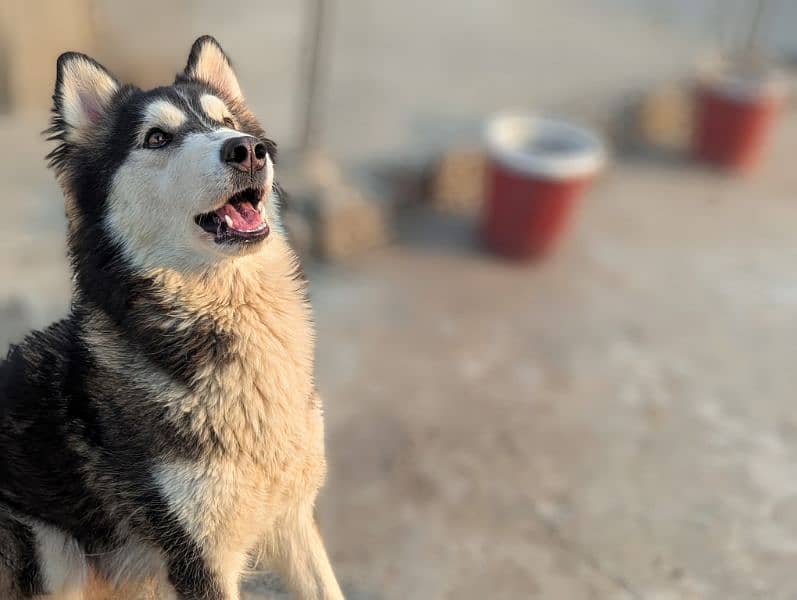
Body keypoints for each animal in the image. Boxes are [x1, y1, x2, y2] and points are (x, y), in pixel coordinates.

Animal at [0, 37, 342, 600]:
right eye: (157, 137)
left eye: (226, 121)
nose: (248, 149)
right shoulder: (198, 557)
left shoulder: (291, 516)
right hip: (53, 551)